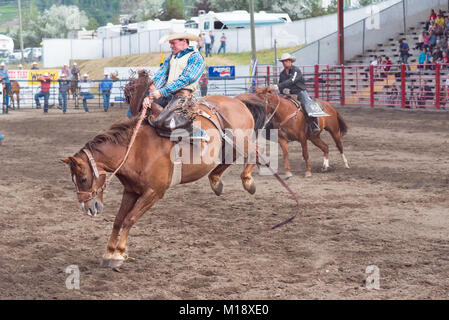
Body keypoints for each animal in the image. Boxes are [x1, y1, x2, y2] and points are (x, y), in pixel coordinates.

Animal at [57, 70, 264, 270]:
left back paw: (248, 181)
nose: (88, 209)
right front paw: (109, 253)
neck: (136, 150)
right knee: (231, 159)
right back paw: (215, 181)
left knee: (255, 152)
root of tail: (237, 101)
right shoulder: (131, 191)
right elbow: (118, 219)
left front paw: (118, 254)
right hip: (228, 145)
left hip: (241, 140)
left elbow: (129, 219)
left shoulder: (154, 192)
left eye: (83, 179)